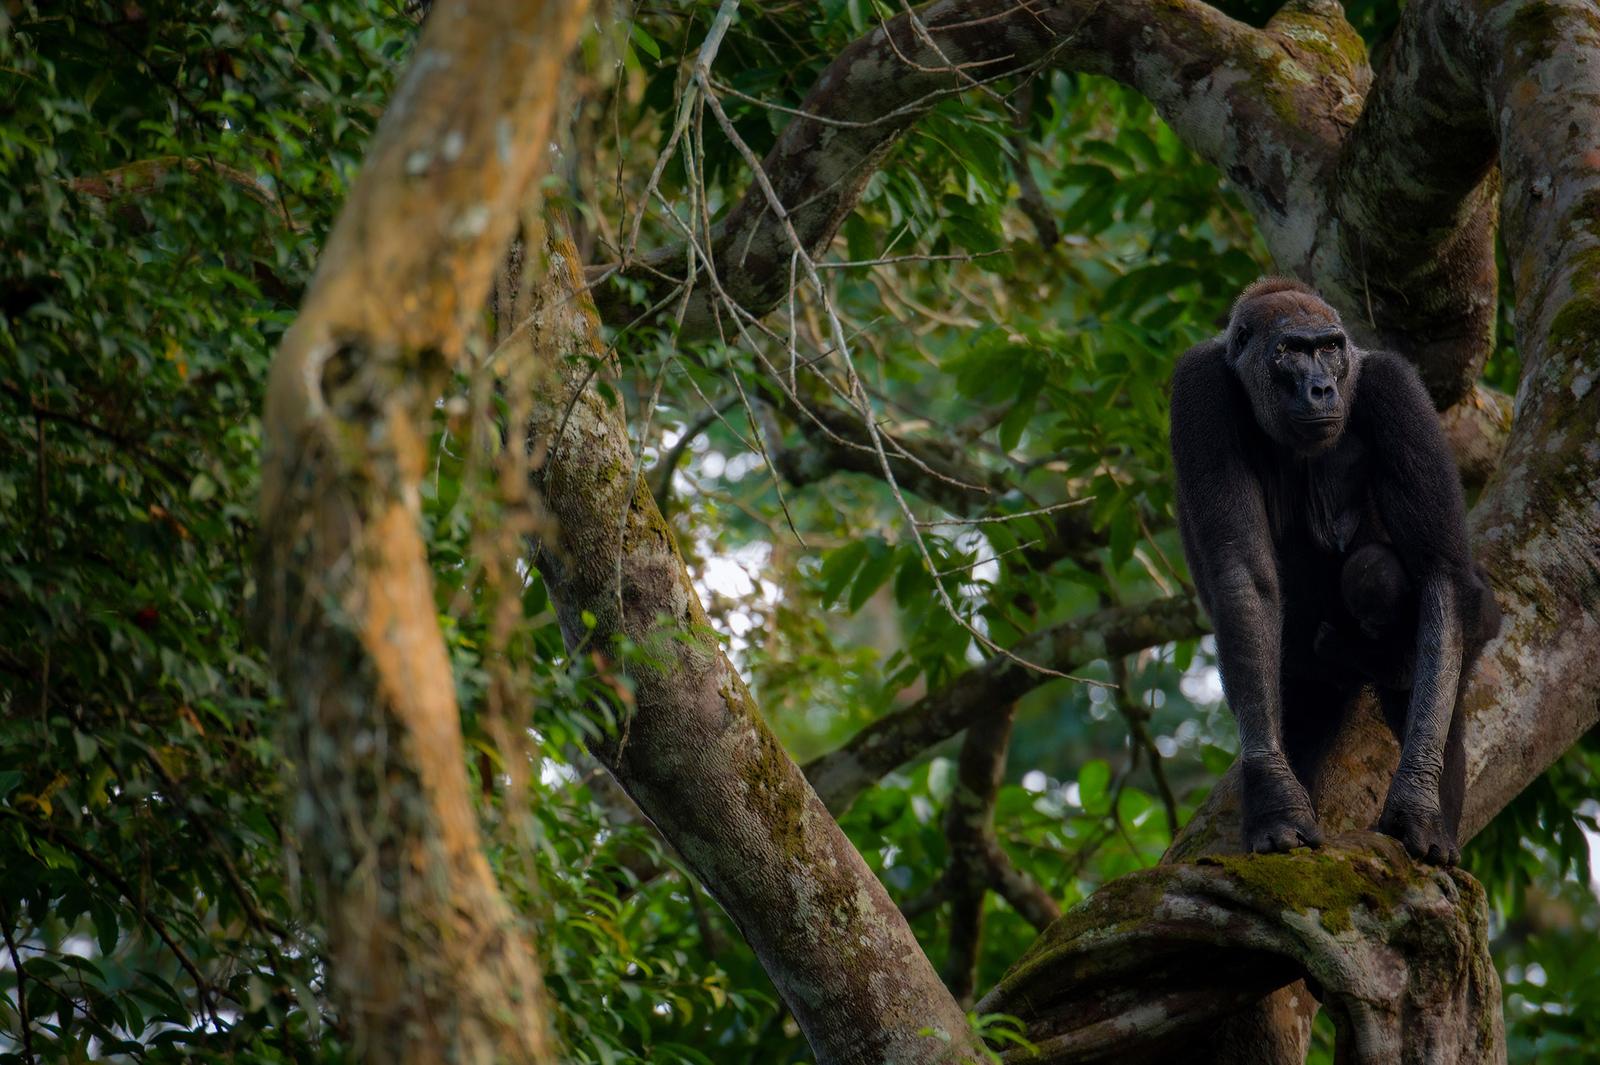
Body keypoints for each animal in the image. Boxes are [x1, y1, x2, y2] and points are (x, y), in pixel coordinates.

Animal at [1164, 275, 1497, 863]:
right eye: (1292, 351)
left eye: (1329, 348)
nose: (1320, 388)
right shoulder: (1197, 387)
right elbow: (1245, 580)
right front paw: (1276, 799)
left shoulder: (1395, 387)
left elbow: (1439, 569)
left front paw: (1418, 804)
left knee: (1397, 596)